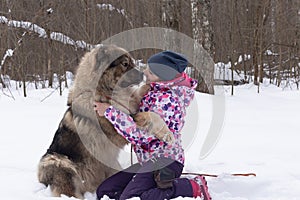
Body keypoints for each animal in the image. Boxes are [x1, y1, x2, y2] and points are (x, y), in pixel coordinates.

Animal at [37, 45, 173, 198]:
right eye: (125, 64)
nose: (143, 75)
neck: (103, 92)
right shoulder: (119, 131)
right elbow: (150, 115)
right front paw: (167, 134)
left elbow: (143, 103)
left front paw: (150, 85)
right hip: (60, 164)